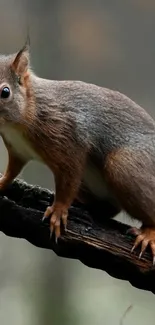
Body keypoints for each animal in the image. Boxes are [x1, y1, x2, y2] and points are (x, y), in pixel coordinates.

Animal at [0, 41, 155, 260]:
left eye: (5, 92)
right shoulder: (17, 151)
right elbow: (12, 172)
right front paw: (1, 182)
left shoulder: (68, 140)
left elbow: (68, 180)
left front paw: (58, 211)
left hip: (124, 166)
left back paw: (149, 234)